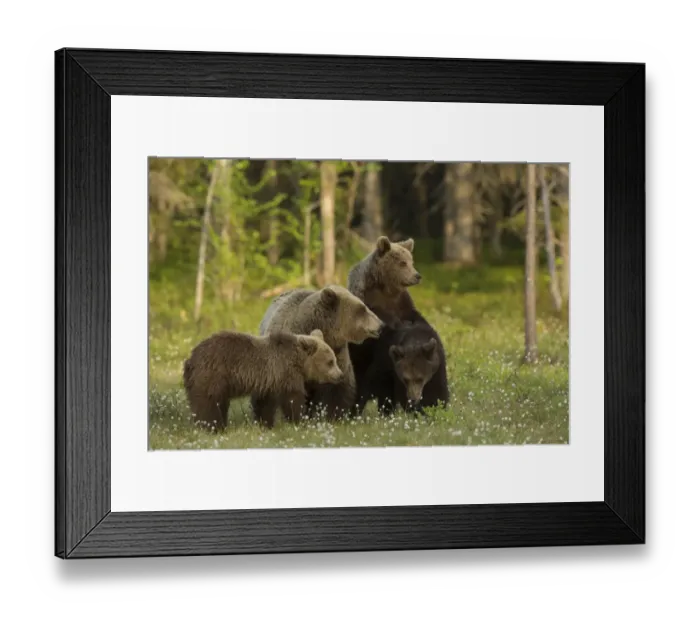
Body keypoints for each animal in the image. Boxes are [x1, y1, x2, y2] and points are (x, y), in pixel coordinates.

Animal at [182, 329, 343, 432]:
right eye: (330, 362)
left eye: (334, 359)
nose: (340, 375)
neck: (299, 362)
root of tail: (190, 359)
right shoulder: (285, 372)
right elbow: (292, 398)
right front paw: (299, 420)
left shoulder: (268, 381)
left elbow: (265, 404)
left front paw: (265, 424)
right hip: (213, 375)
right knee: (208, 403)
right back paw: (212, 427)